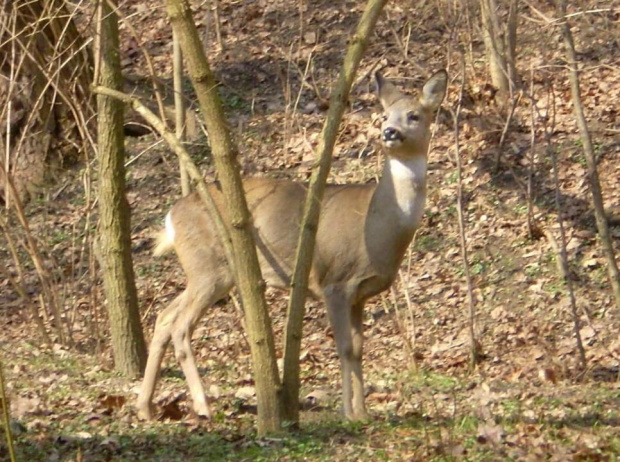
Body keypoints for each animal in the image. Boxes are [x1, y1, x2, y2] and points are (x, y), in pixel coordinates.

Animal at [137, 69, 446, 422]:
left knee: (164, 316)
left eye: (414, 115)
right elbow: (345, 348)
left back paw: (145, 407)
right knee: (180, 325)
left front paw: (363, 414)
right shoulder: (334, 281)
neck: (376, 226)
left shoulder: (359, 294)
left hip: (204, 270)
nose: (389, 132)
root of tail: (171, 218)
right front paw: (348, 413)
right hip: (210, 267)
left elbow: (358, 349)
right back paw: (203, 406)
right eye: (384, 115)